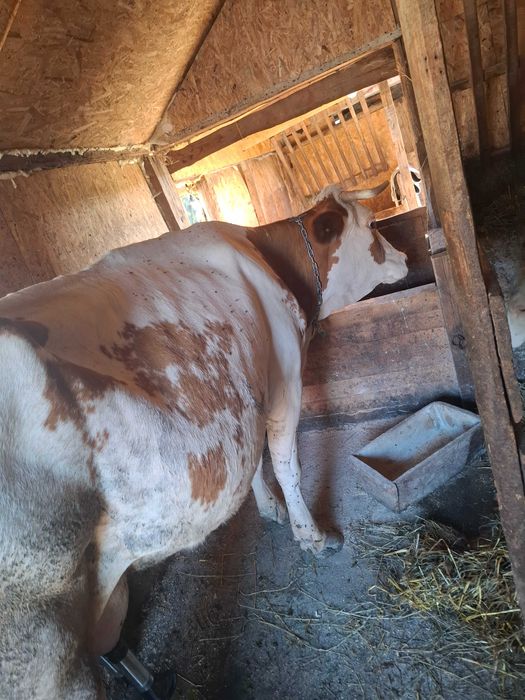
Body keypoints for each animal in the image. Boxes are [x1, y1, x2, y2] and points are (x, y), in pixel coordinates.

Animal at [0, 184, 408, 698]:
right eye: (372, 225)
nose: (407, 255)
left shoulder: (246, 396)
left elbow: (253, 464)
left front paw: (270, 509)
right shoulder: (284, 380)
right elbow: (286, 464)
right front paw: (310, 536)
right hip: (43, 652)